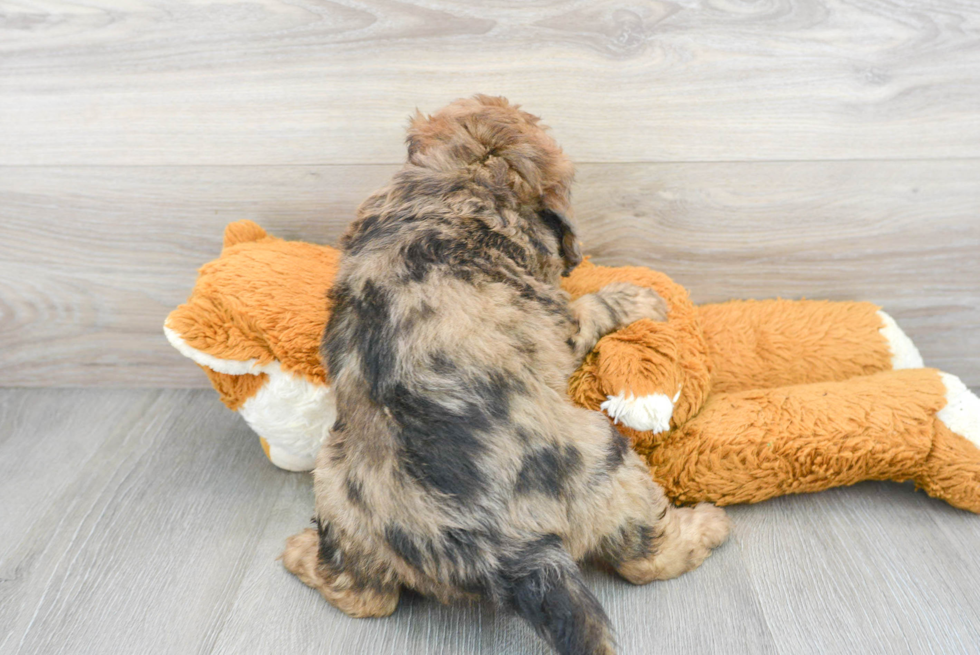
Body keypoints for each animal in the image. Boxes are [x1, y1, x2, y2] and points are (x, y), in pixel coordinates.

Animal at [282, 96, 728, 655]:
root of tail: (505, 555)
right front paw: (638, 299)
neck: (465, 177)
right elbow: (590, 307)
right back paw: (709, 524)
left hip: (336, 487)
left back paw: (299, 554)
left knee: (365, 596)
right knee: (646, 559)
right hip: (608, 458)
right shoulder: (559, 321)